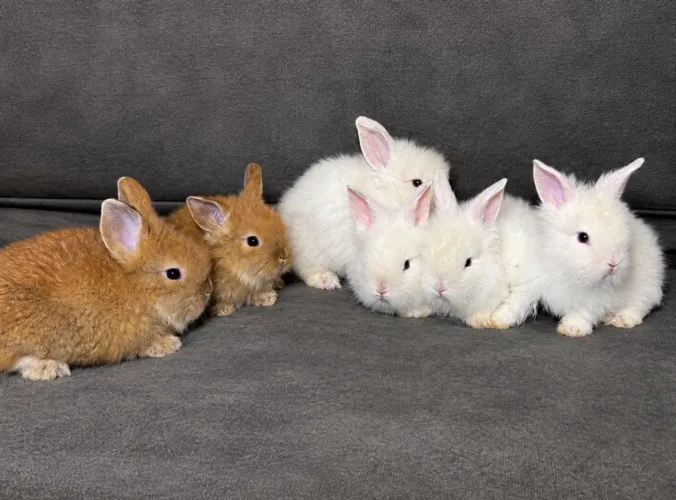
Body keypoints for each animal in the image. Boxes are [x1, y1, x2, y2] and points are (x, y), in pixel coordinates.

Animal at [532, 157, 664, 337]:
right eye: (583, 237)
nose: (613, 263)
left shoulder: (594, 301)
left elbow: (583, 312)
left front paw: (572, 329)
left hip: (648, 282)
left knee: (641, 304)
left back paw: (622, 319)